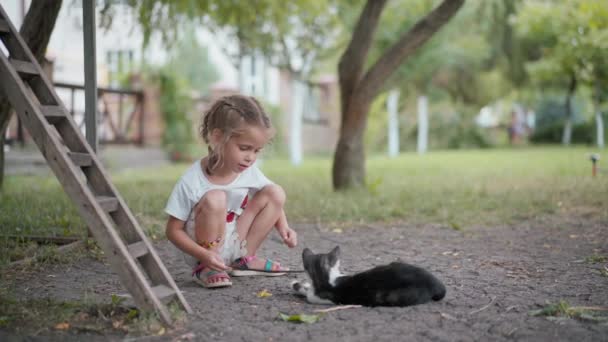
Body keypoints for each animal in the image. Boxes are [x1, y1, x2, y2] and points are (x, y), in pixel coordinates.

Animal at [292, 246, 444, 308]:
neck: (327, 278)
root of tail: (436, 283)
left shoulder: (317, 298)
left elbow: (308, 293)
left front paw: (297, 285)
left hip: (397, 296)